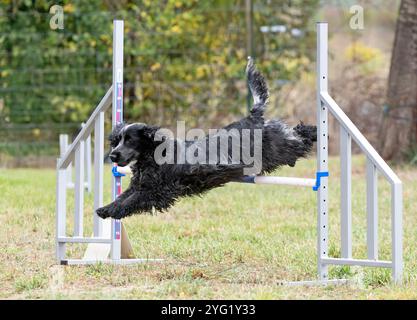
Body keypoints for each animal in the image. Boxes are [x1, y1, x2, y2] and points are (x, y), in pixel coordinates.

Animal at [95, 58, 316, 220]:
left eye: (130, 140)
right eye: (117, 140)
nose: (113, 156)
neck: (152, 156)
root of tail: (253, 116)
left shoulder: (158, 190)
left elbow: (130, 202)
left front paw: (112, 212)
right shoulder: (139, 186)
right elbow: (122, 197)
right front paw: (105, 209)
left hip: (280, 146)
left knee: (299, 138)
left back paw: (315, 131)